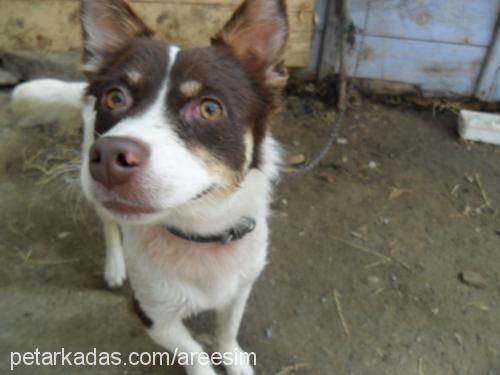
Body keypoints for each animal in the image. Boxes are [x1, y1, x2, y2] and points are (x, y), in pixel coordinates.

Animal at [11, 1, 290, 374]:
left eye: (210, 108)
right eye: (115, 98)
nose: (109, 156)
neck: (200, 236)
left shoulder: (241, 287)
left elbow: (228, 330)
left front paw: (235, 359)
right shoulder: (154, 316)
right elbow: (195, 353)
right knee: (108, 222)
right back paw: (115, 265)